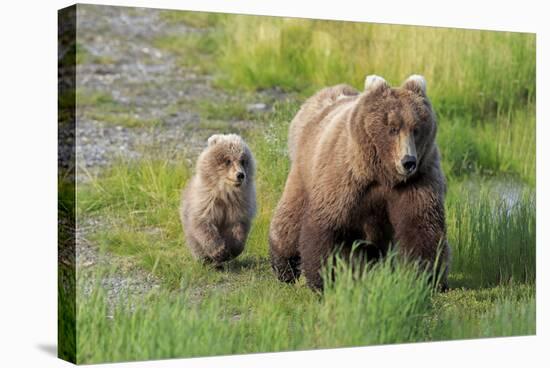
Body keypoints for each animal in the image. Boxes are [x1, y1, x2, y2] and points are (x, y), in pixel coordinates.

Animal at [270, 74, 450, 290]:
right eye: (392, 128)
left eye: (416, 129)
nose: (408, 161)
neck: (382, 174)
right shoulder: (346, 176)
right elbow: (327, 224)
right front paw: (323, 278)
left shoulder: (417, 180)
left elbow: (421, 225)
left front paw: (425, 277)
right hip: (304, 170)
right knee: (290, 216)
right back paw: (283, 267)